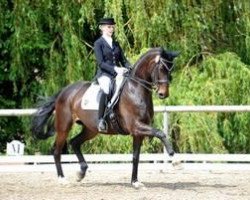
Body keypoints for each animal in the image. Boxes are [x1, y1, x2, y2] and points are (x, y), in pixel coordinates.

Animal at [31, 47, 180, 188]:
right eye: (161, 68)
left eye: (170, 69)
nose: (163, 94)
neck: (135, 89)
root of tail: (64, 91)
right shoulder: (136, 126)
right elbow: (160, 133)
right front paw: (175, 160)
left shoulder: (138, 132)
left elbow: (135, 156)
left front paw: (135, 182)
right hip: (64, 127)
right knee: (57, 150)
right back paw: (62, 179)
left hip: (91, 129)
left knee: (75, 142)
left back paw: (81, 172)